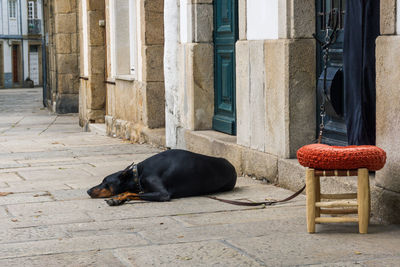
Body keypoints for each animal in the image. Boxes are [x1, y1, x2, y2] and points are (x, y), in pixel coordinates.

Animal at [86, 150, 238, 206]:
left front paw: (117, 198)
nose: (88, 191)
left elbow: (129, 192)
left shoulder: (162, 194)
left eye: (105, 182)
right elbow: (132, 193)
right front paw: (118, 199)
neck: (137, 174)